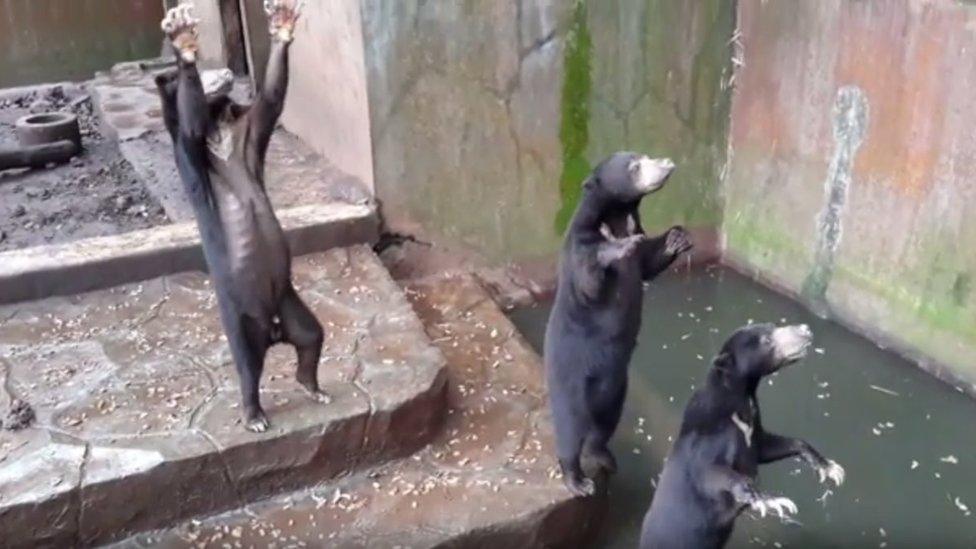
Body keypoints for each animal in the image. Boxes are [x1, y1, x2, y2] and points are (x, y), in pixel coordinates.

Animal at [157, 1, 328, 432]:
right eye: (201, 72)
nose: (225, 71)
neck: (220, 128)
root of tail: (272, 330)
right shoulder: (188, 148)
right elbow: (188, 123)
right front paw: (182, 41)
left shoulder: (249, 126)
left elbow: (270, 100)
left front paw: (282, 25)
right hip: (239, 317)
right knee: (248, 368)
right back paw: (254, 415)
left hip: (290, 304)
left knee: (311, 337)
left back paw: (313, 385)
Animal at [540, 152, 692, 494]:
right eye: (635, 166)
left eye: (645, 156)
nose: (666, 163)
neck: (617, 217)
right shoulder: (580, 245)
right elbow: (590, 281)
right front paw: (618, 248)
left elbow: (648, 262)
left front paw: (677, 237)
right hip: (571, 379)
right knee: (570, 428)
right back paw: (577, 479)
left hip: (616, 387)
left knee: (603, 426)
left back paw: (604, 456)